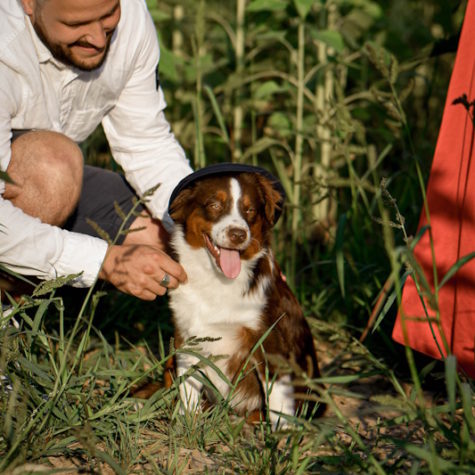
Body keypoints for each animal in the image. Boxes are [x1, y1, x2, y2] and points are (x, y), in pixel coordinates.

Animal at [165, 165, 326, 428]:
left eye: (250, 210)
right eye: (214, 205)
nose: (238, 234)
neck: (218, 281)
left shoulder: (269, 341)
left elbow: (279, 400)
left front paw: (281, 435)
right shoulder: (187, 336)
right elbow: (188, 387)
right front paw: (186, 422)